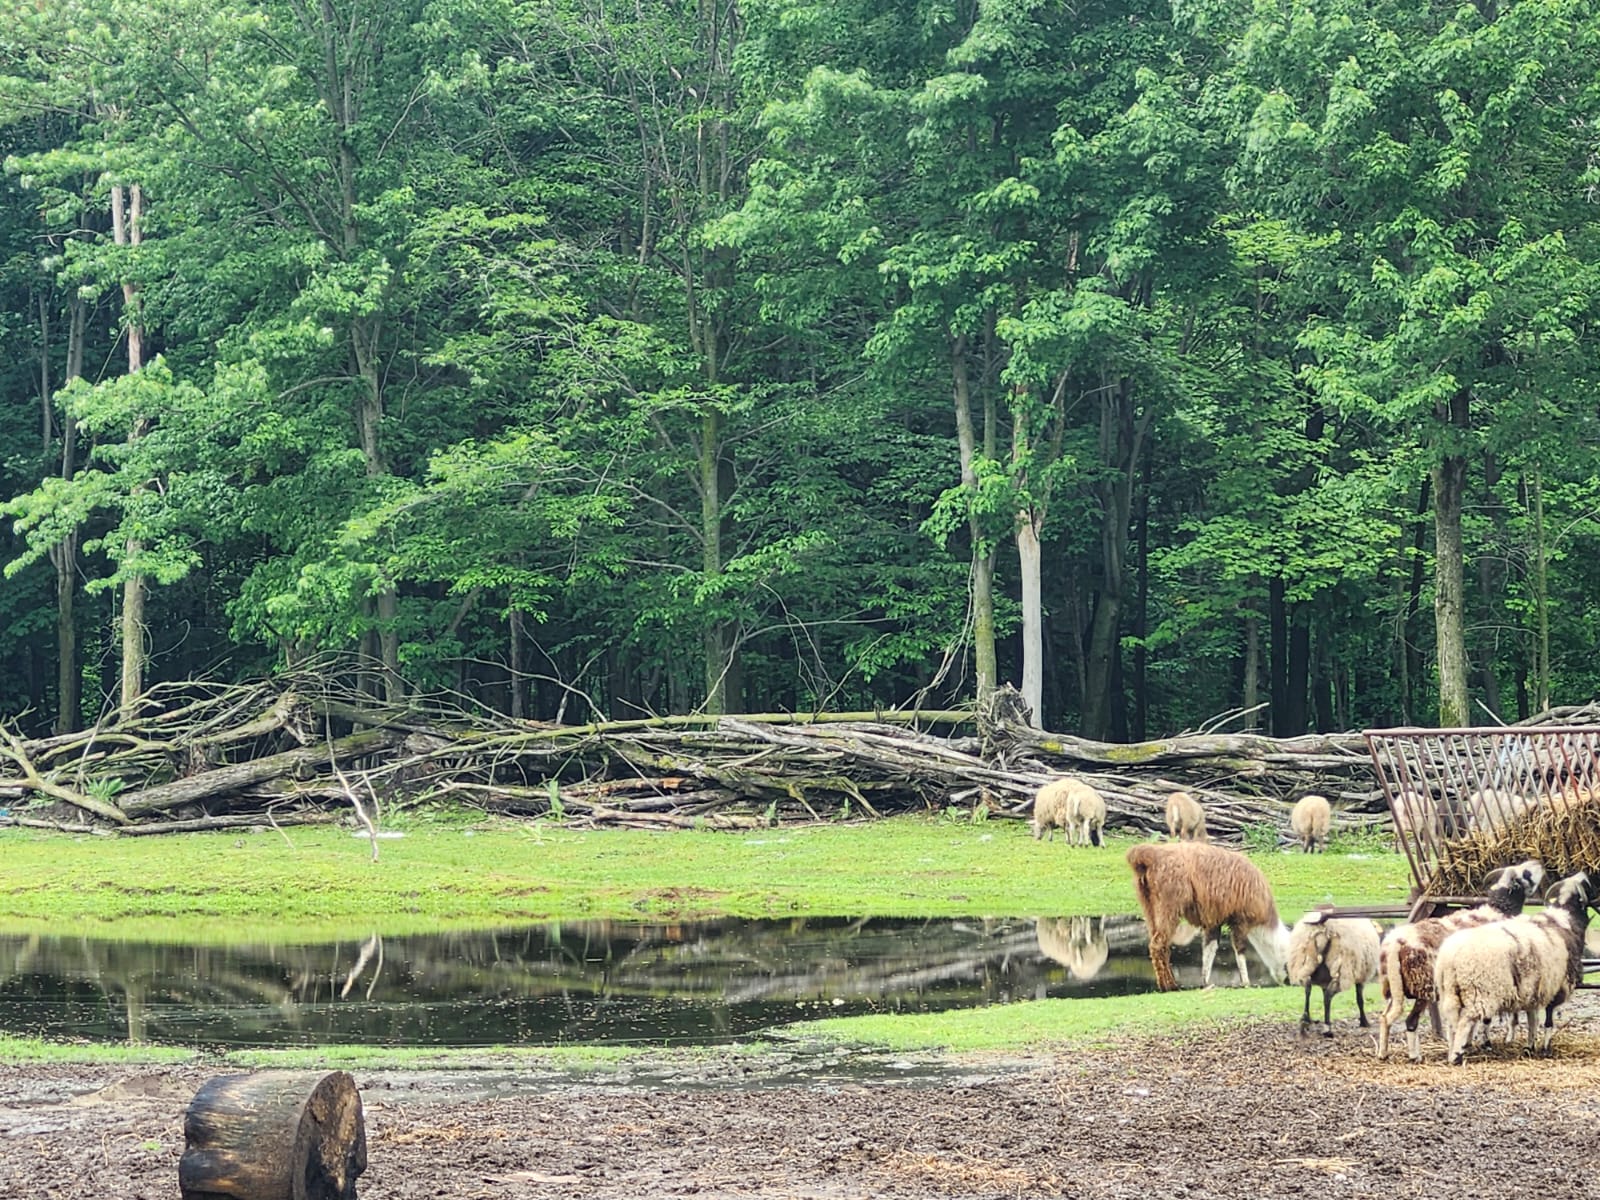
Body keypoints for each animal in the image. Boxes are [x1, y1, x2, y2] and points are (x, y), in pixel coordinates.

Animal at [1126, 841, 1290, 992]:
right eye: (1289, 967)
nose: (1290, 982)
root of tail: (1150, 856)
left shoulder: (1214, 920)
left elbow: (1209, 949)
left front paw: (1205, 982)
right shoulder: (1240, 919)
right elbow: (1239, 949)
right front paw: (1246, 983)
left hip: (1148, 904)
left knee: (1161, 943)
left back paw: (1167, 984)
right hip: (1170, 901)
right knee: (1158, 944)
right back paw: (1170, 986)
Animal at [1373, 858, 1545, 1061]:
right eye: (1526, 873)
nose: (1538, 863)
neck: (1499, 910)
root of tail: (1395, 942)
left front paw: (1467, 1042)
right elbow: (1485, 1017)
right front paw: (1481, 1043)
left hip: (1396, 986)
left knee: (1386, 1017)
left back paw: (1383, 1053)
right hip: (1423, 985)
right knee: (1410, 1021)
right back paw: (1415, 1056)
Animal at [1435, 870, 1597, 1064]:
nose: (1584, 873)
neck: (1565, 918)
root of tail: (1449, 957)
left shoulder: (1534, 986)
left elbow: (1532, 1018)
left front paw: (1530, 1046)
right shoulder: (1557, 985)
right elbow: (1548, 1020)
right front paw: (1546, 1047)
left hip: (1451, 991)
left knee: (1452, 1022)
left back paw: (1453, 1051)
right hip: (1478, 991)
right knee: (1466, 1021)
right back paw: (1458, 1055)